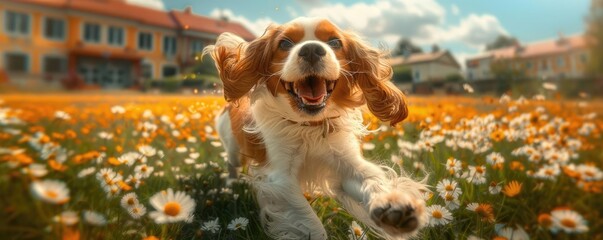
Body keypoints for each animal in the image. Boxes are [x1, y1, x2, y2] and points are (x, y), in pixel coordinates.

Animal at [206, 17, 430, 240]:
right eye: (284, 43)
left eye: (335, 42)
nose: (311, 49)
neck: (309, 126)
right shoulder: (281, 179)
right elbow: (310, 223)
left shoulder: (346, 163)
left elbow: (371, 179)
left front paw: (393, 205)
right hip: (233, 147)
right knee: (232, 165)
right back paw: (231, 187)